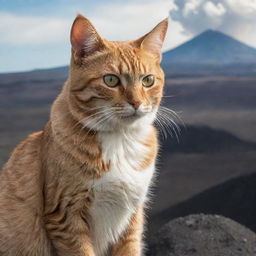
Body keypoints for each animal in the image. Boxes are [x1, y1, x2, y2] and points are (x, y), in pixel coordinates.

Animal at [0, 14, 168, 256]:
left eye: (147, 80)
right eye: (111, 80)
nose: (137, 103)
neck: (120, 141)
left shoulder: (132, 217)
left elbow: (129, 249)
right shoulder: (64, 215)